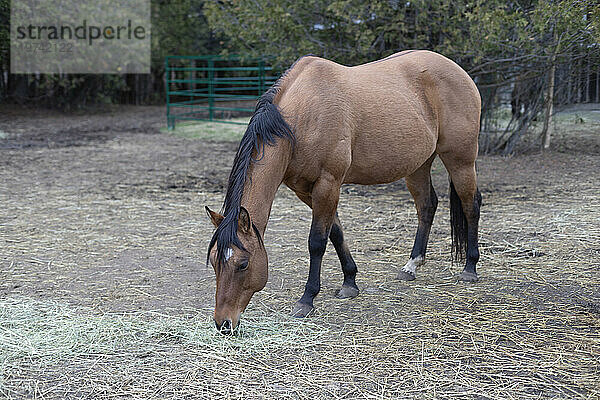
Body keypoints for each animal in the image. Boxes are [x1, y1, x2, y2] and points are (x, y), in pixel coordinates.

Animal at [206, 50, 482, 334]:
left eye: (243, 264)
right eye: (215, 262)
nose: (223, 323)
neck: (300, 120)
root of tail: (458, 71)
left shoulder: (328, 183)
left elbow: (317, 242)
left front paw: (307, 300)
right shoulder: (306, 191)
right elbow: (335, 233)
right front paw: (350, 281)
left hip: (460, 160)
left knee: (471, 205)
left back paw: (469, 268)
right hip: (418, 165)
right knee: (427, 206)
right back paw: (411, 265)